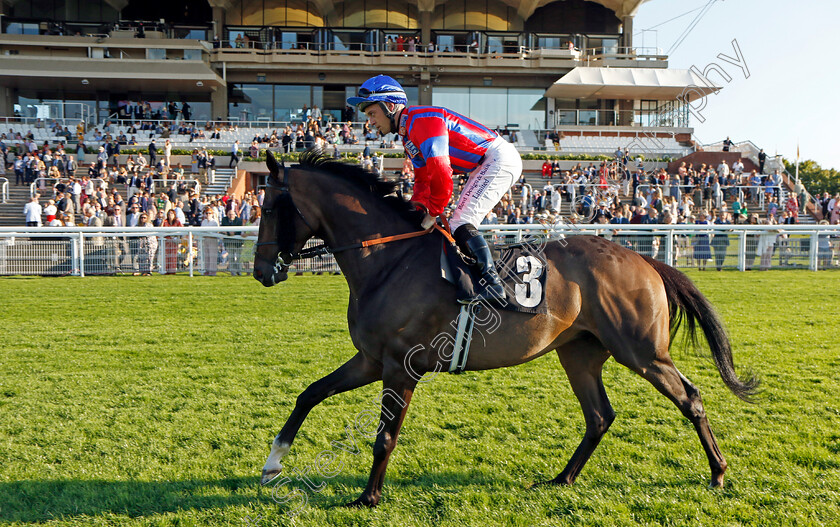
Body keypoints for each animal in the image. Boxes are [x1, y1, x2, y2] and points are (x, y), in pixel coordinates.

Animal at [253, 151, 756, 510]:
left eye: (273, 205)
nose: (261, 271)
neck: (388, 259)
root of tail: (644, 259)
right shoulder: (371, 360)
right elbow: (310, 393)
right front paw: (273, 461)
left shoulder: (400, 367)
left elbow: (384, 436)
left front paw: (368, 497)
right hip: (579, 353)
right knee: (599, 415)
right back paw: (562, 478)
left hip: (643, 352)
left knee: (690, 398)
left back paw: (718, 471)